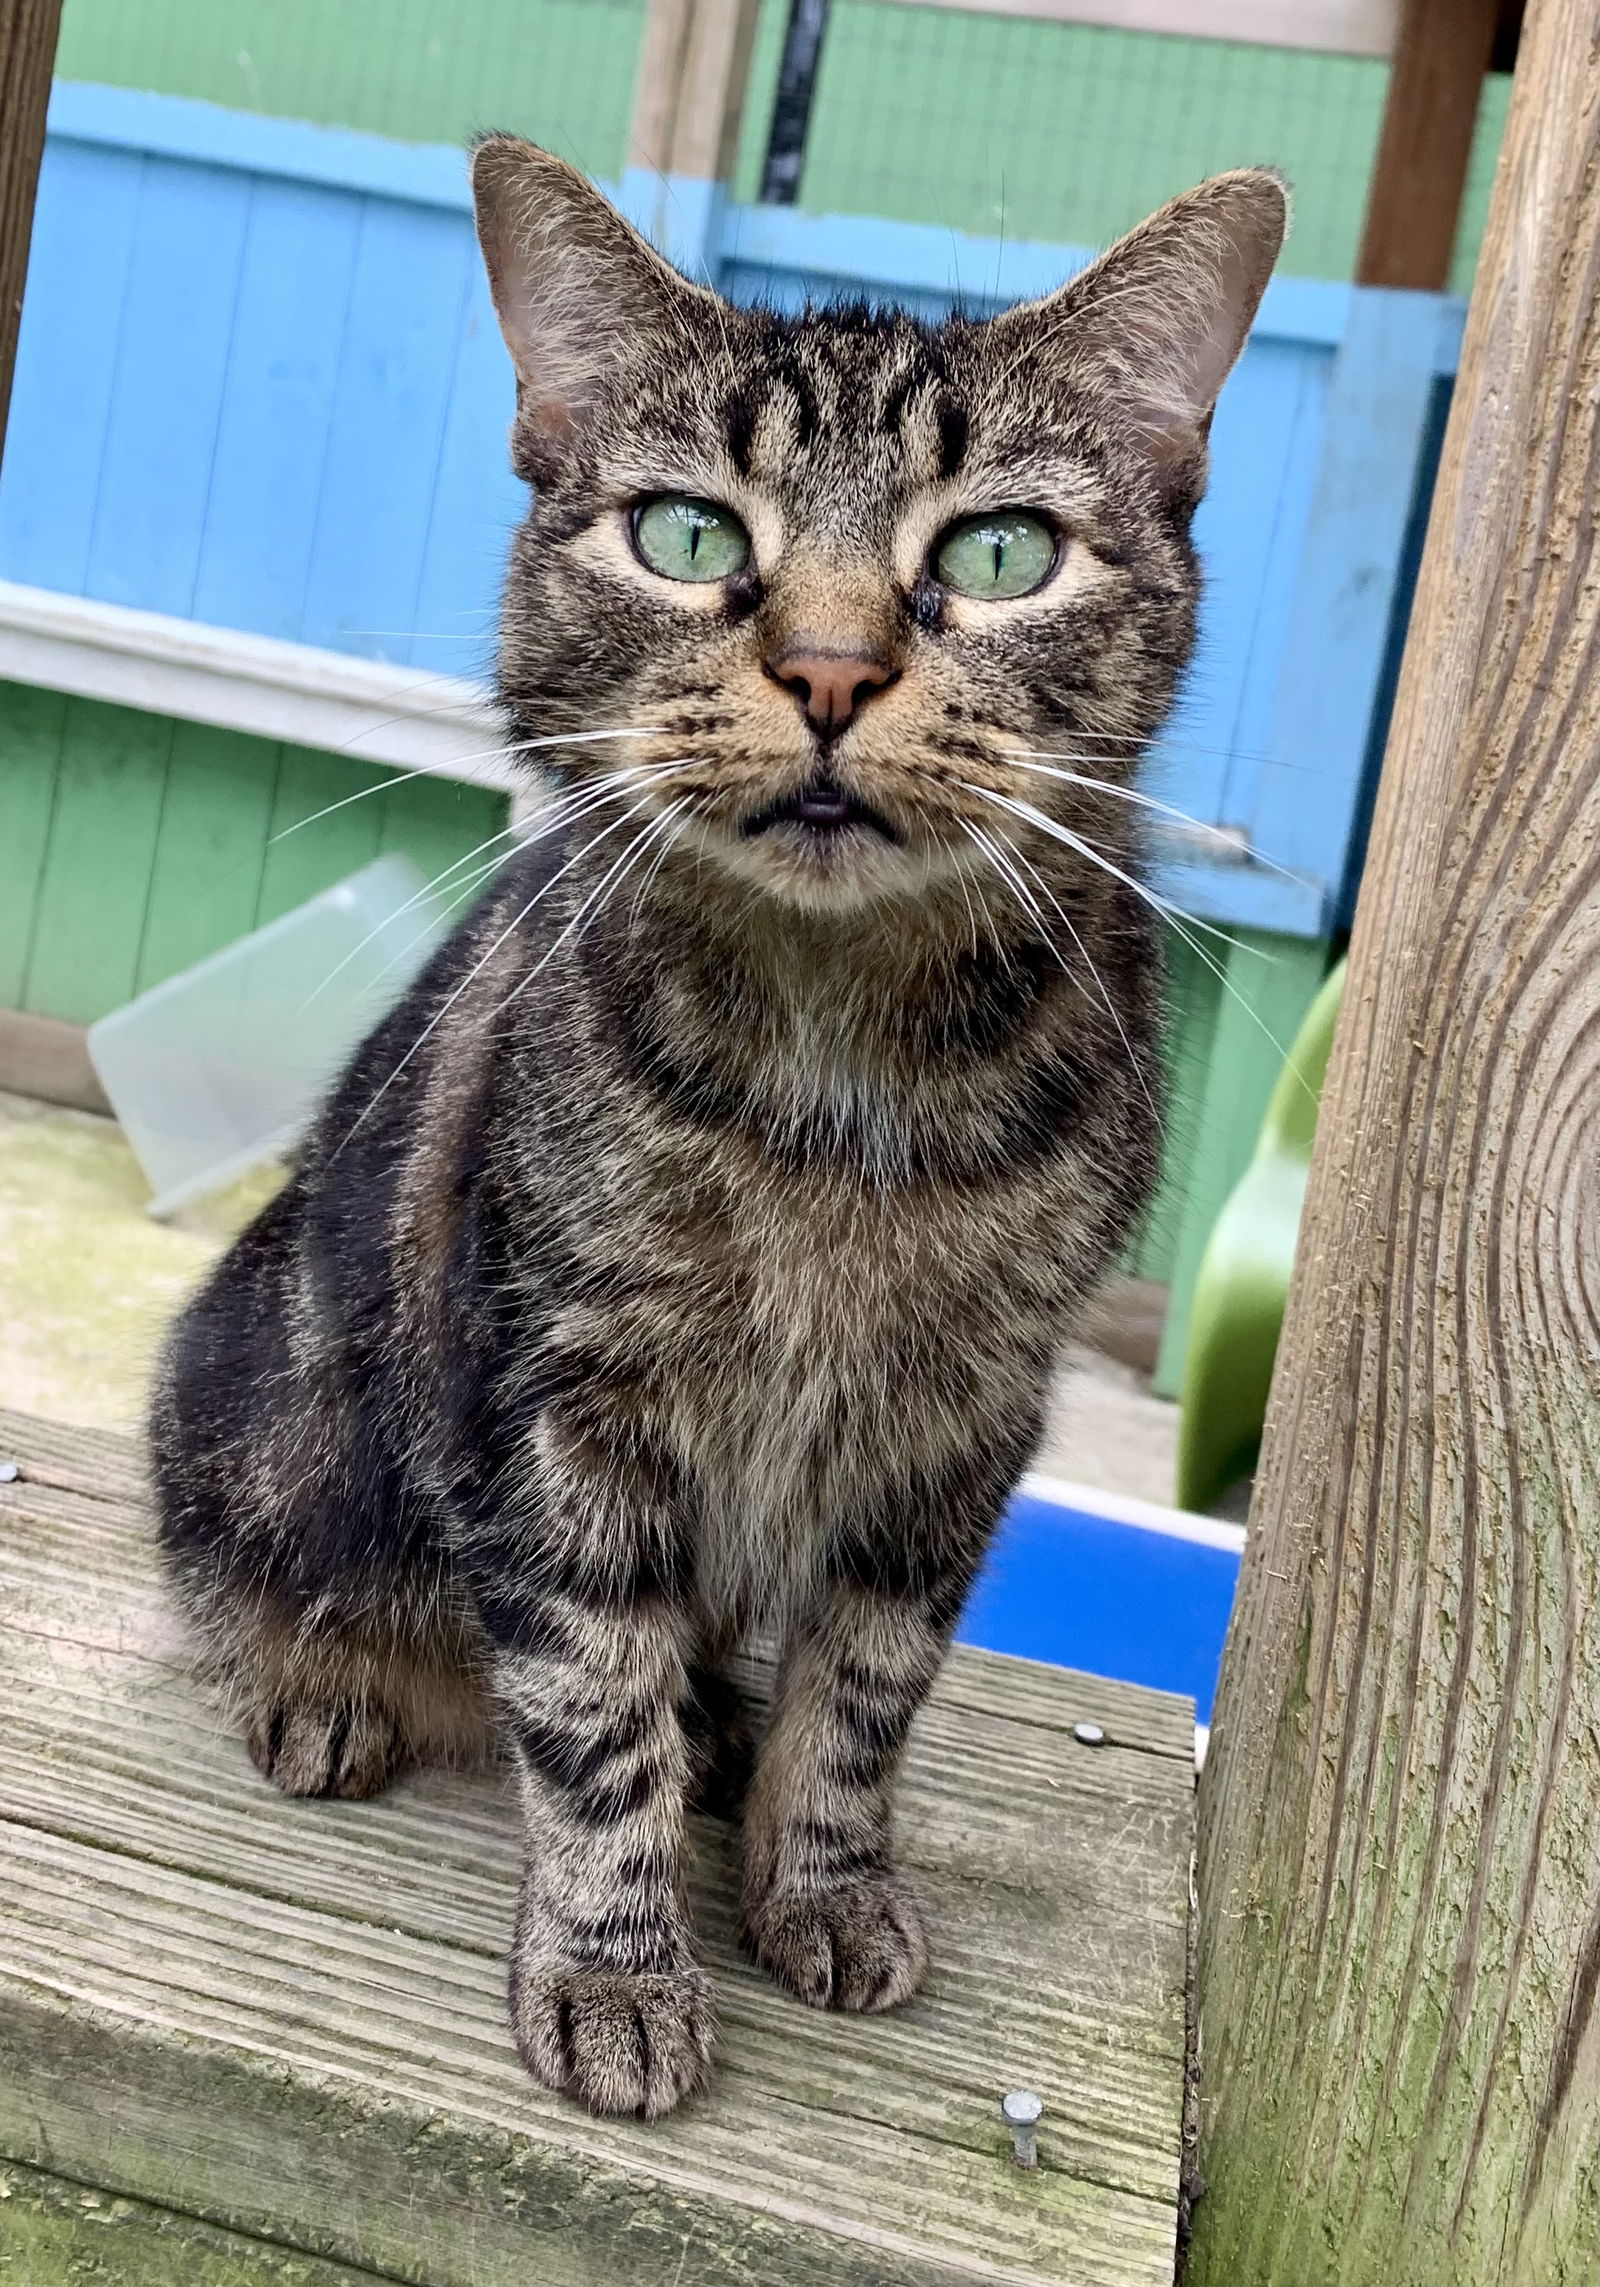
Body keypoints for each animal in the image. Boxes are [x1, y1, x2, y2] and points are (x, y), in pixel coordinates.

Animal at [153, 152, 1289, 2122]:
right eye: (687, 535)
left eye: (1000, 552)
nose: (829, 670)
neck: (838, 1083)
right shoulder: (552, 1392)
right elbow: (589, 1702)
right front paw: (615, 1968)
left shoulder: (957, 1423)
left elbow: (867, 1687)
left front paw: (820, 1880)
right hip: (252, 1405)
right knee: (250, 1570)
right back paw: (327, 1683)